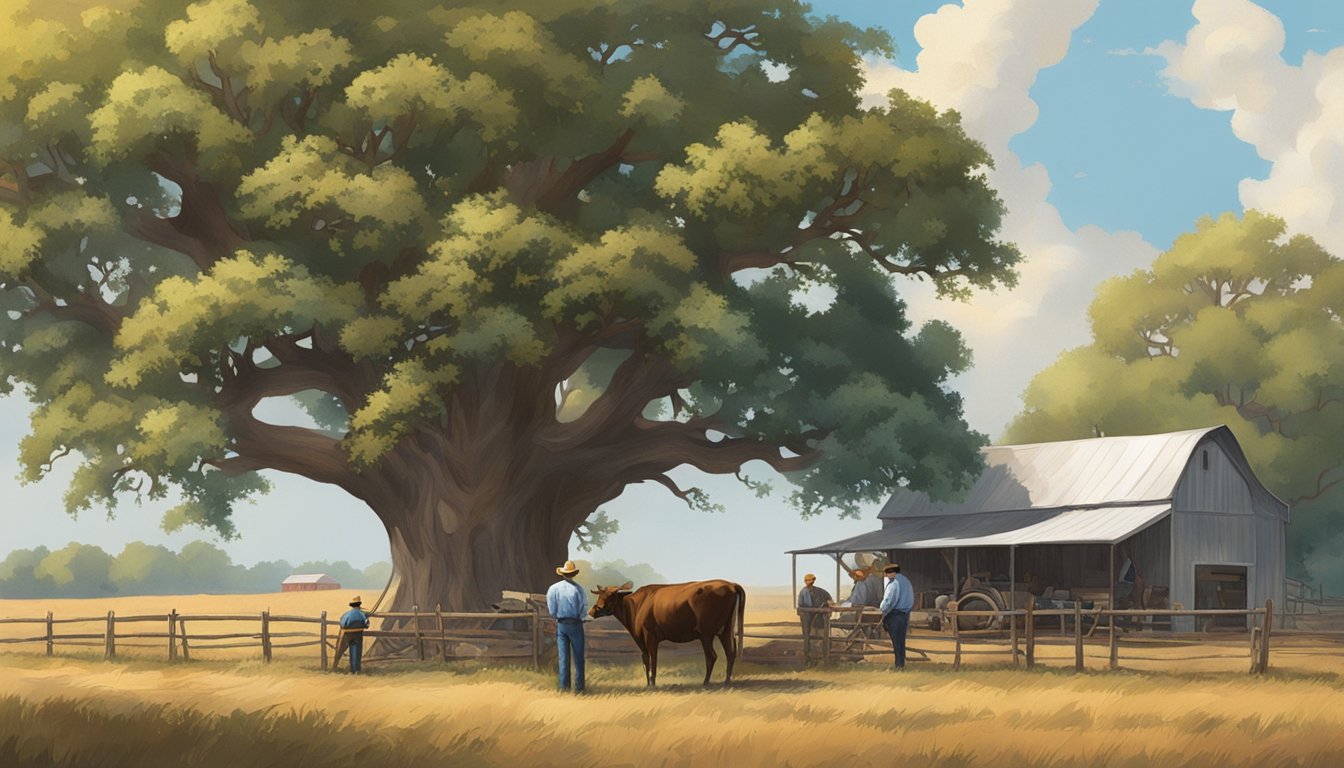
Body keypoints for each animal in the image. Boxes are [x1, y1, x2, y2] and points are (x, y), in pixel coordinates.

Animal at [588, 581, 747, 688]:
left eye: (611, 596)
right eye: (600, 595)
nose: (592, 611)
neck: (636, 607)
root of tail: (731, 585)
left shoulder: (650, 636)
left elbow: (653, 660)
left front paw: (653, 684)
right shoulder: (640, 639)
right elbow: (645, 660)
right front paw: (648, 684)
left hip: (706, 633)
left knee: (712, 656)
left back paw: (706, 682)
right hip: (725, 630)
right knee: (730, 654)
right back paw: (727, 681)